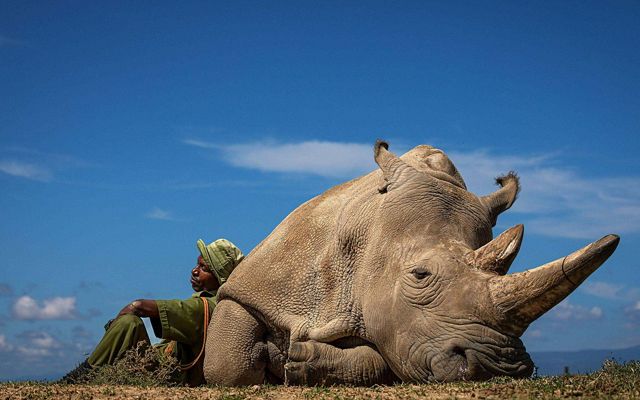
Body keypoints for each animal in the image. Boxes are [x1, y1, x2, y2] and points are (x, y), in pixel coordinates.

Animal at [202, 141, 616, 384]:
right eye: (420, 275)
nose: (501, 367)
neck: (367, 234)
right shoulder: (260, 283)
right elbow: (228, 363)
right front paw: (271, 358)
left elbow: (381, 357)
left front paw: (295, 360)